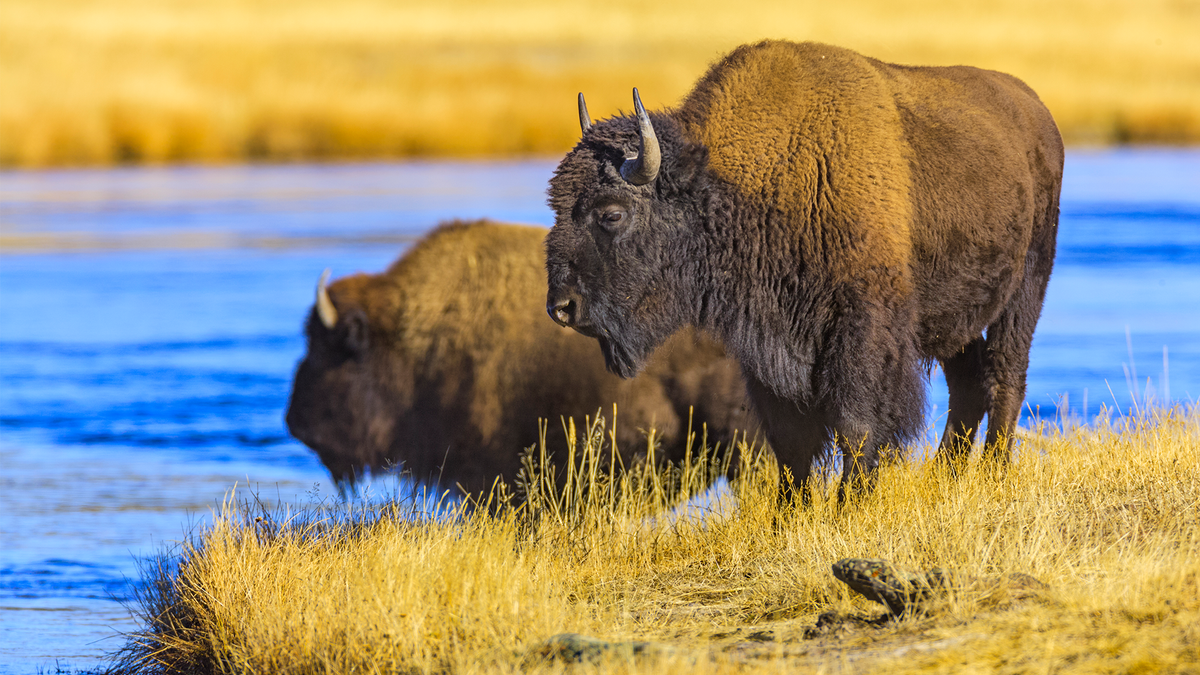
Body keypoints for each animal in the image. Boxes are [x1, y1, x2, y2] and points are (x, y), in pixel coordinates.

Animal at [549, 39, 1065, 497]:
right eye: (554, 207)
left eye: (611, 214)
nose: (561, 307)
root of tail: (1038, 113)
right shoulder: (767, 348)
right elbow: (791, 443)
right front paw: (789, 515)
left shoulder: (862, 332)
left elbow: (857, 427)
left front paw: (849, 505)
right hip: (950, 317)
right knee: (968, 383)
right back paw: (946, 476)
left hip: (1025, 291)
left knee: (1005, 375)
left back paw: (994, 472)